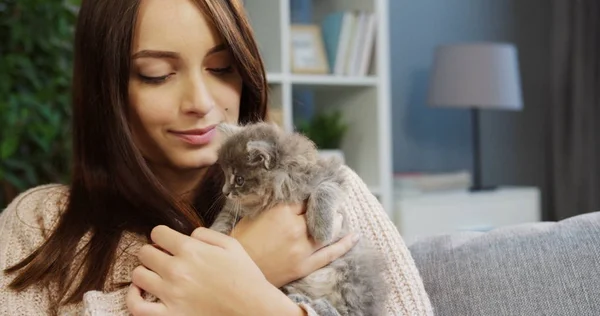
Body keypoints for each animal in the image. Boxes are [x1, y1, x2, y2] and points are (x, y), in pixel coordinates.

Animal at [211, 121, 386, 316]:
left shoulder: (332, 176)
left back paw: (319, 304)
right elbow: (223, 218)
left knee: (350, 312)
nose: (225, 191)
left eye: (239, 179)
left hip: (354, 277)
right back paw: (303, 299)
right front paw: (214, 235)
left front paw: (321, 230)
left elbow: (323, 191)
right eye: (226, 175)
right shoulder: (235, 209)